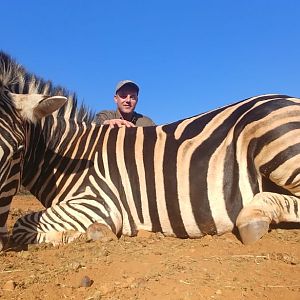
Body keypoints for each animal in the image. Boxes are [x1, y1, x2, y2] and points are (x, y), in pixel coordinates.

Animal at [0, 52, 298, 251]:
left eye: (18, 151)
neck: (74, 157)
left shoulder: (96, 202)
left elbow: (22, 224)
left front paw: (89, 234)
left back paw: (252, 218)